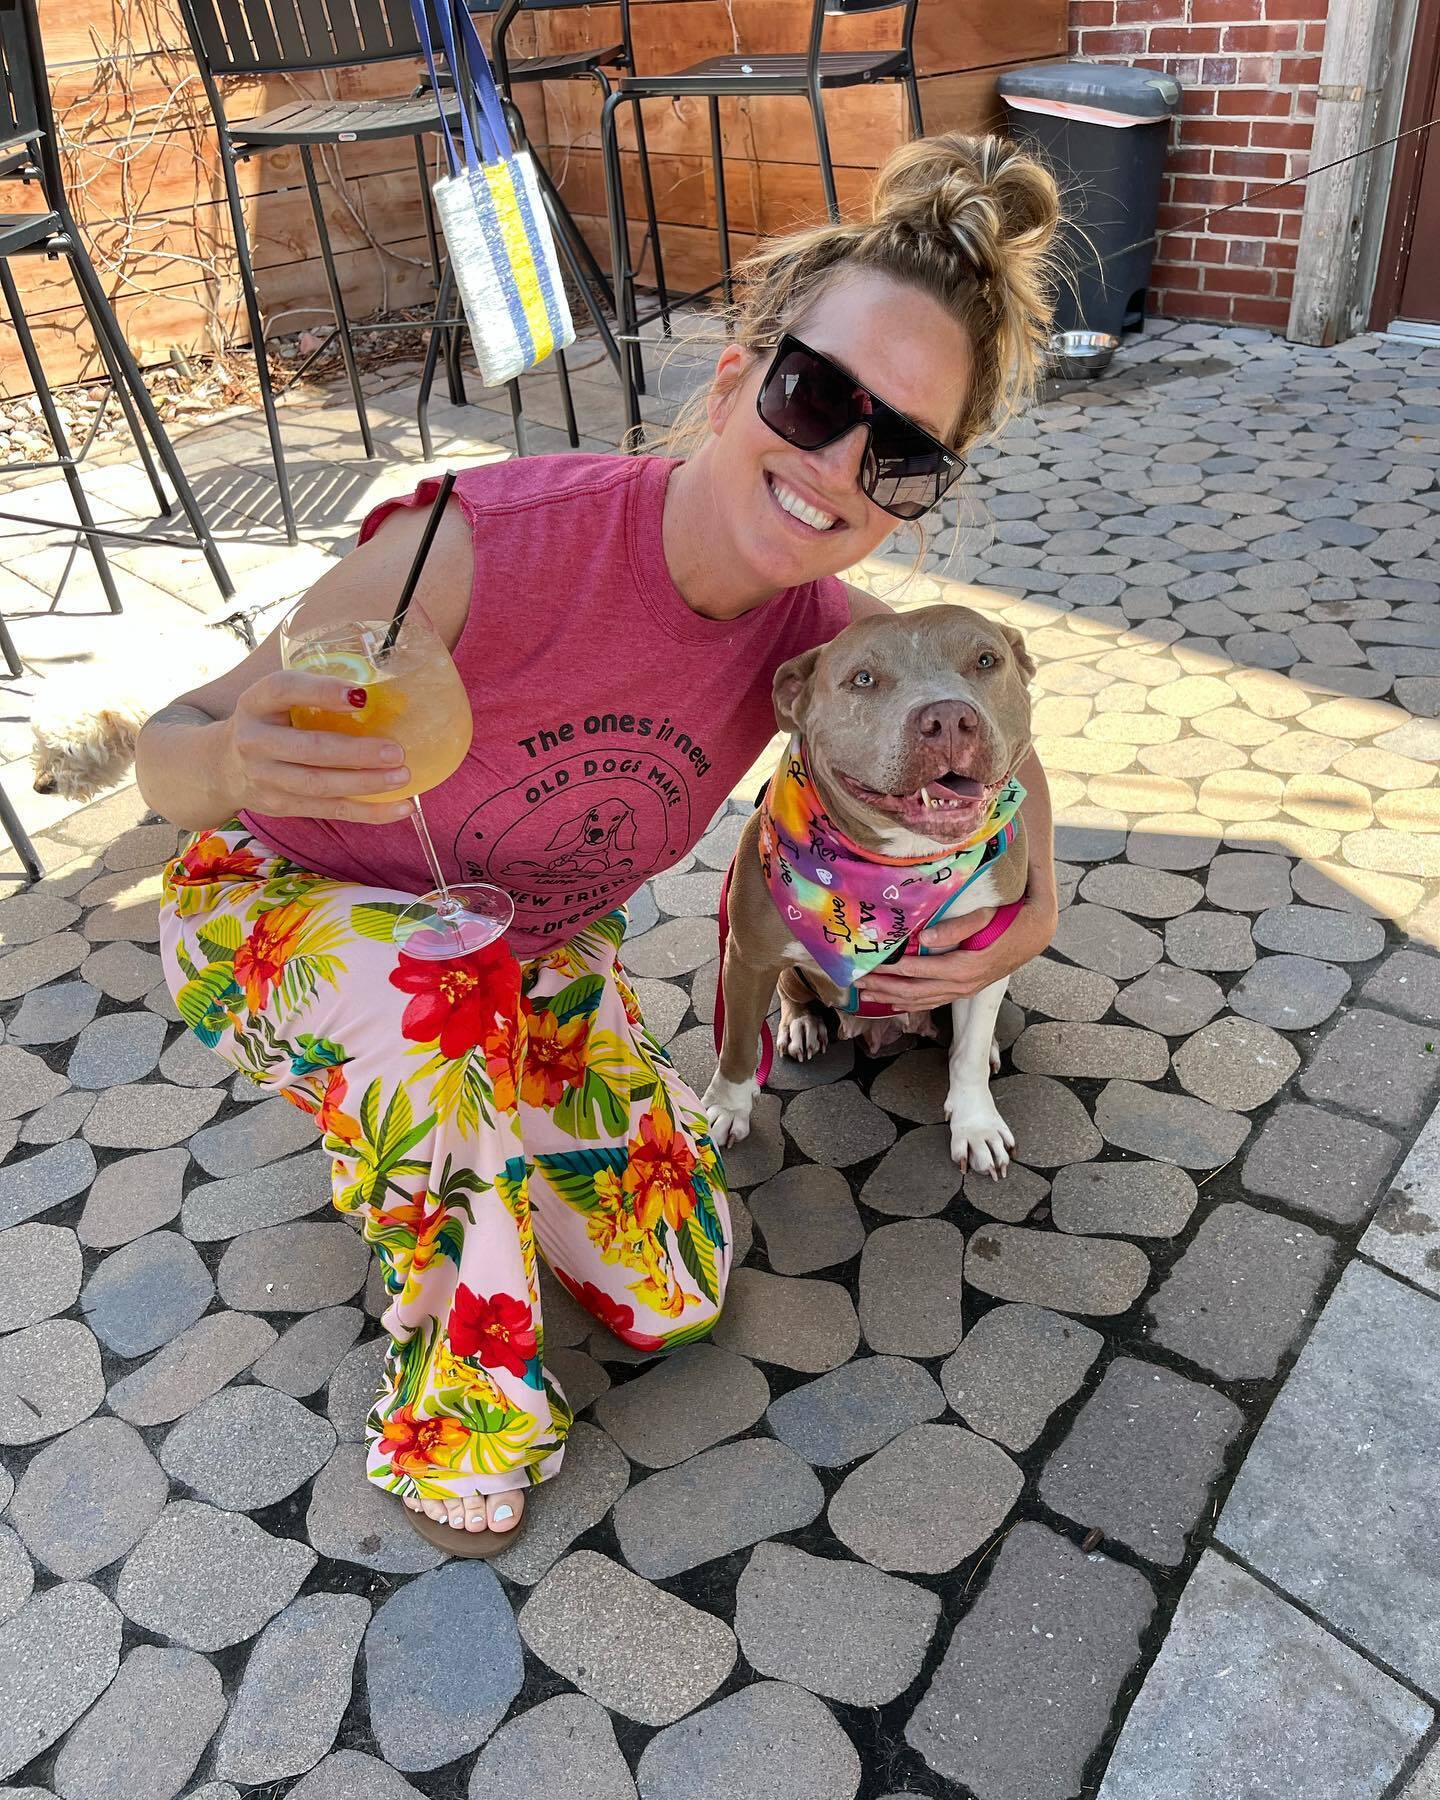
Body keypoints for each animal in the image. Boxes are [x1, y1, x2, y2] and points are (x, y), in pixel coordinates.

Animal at [702, 604, 1029, 1180]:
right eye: (863, 679)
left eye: (987, 660)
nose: (948, 718)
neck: (902, 871)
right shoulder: (747, 957)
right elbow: (738, 1046)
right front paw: (726, 1110)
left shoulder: (983, 954)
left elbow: (966, 1056)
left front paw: (976, 1124)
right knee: (792, 992)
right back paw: (802, 1025)